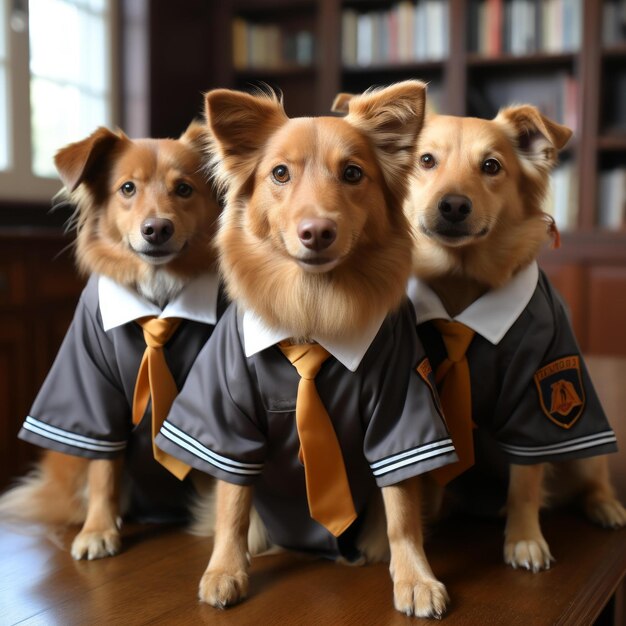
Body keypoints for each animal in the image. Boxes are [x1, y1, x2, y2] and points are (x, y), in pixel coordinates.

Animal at [0, 120, 223, 556]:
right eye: (127, 188)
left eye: (184, 189)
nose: (157, 229)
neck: (157, 294)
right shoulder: (92, 386)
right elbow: (104, 467)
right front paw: (99, 530)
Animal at [153, 80, 456, 616]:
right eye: (280, 173)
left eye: (353, 173)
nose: (317, 232)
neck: (313, 313)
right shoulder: (227, 418)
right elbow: (233, 504)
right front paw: (225, 570)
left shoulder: (402, 406)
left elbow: (400, 509)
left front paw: (415, 577)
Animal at [400, 106, 624, 572]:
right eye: (426, 160)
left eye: (491, 167)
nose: (453, 205)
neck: (461, 284)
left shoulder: (540, 395)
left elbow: (525, 483)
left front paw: (523, 539)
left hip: (583, 445)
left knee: (591, 478)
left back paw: (605, 506)